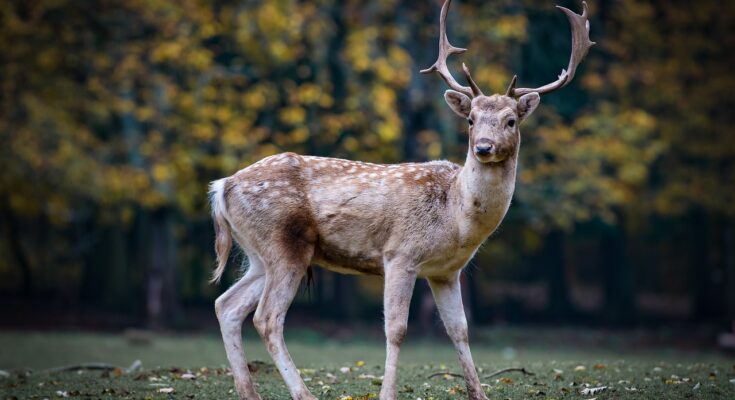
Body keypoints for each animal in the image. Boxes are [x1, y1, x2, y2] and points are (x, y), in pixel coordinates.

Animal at [210, 1, 593, 399]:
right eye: (471, 119)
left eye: (511, 121)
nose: (484, 147)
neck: (455, 217)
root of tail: (223, 186)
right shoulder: (400, 254)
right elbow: (396, 330)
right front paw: (387, 392)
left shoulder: (446, 272)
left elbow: (460, 330)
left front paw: (479, 393)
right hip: (284, 244)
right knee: (266, 317)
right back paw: (303, 393)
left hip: (259, 254)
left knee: (227, 305)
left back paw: (249, 391)